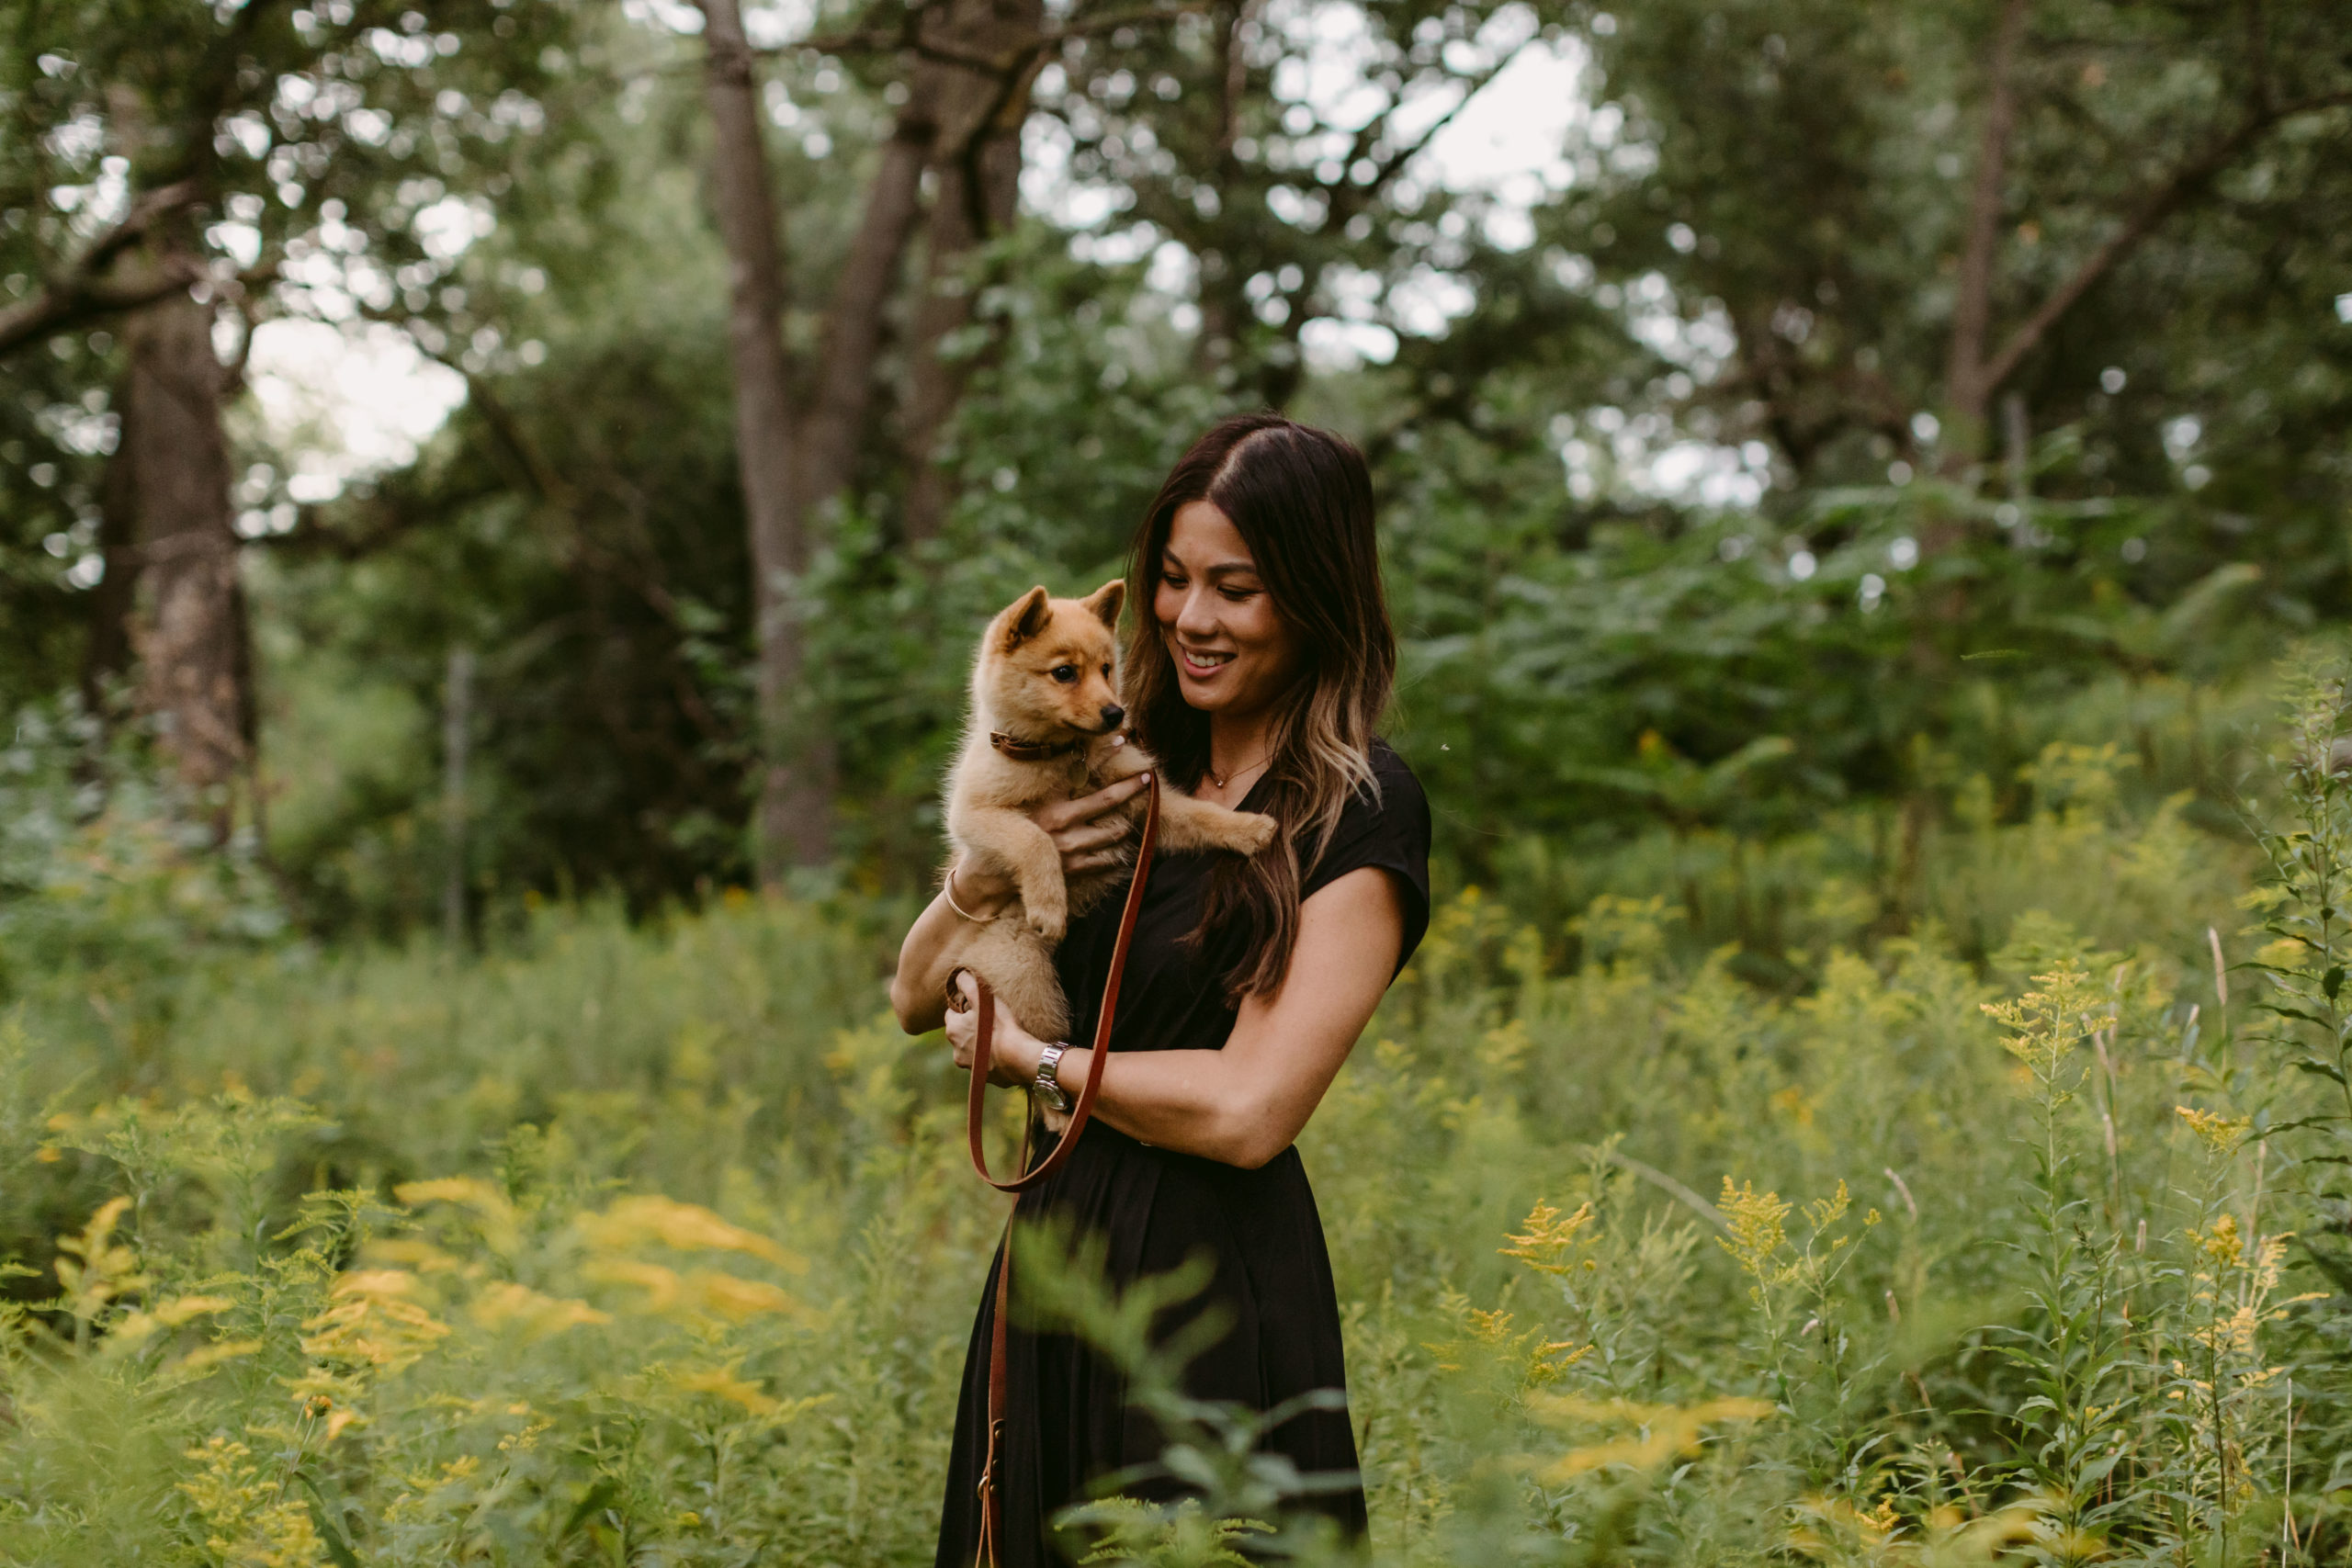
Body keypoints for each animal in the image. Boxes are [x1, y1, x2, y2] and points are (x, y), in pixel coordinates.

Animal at [931, 576, 1279, 1043]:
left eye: (1107, 669)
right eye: (1065, 673)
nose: (1116, 714)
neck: (1064, 756)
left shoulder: (1147, 799)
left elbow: (1199, 814)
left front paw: (1248, 827)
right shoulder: (974, 813)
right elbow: (1034, 838)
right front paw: (1049, 903)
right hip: (1021, 972)